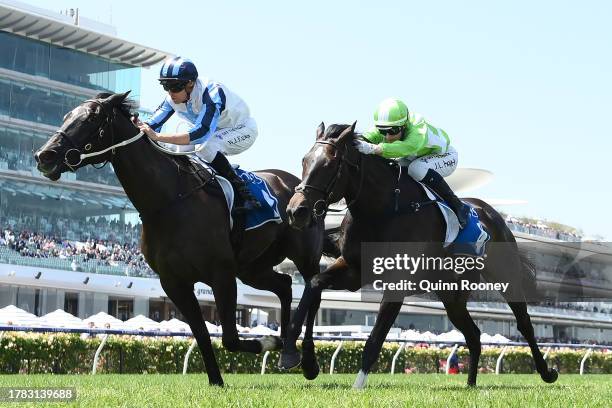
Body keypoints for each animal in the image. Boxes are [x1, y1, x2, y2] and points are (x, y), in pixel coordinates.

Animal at [34, 91, 326, 386]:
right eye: (66, 116)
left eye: (90, 119)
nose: (44, 155)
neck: (169, 202)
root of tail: (295, 185)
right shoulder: (173, 282)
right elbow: (202, 334)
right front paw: (217, 381)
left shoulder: (221, 273)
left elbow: (230, 338)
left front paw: (267, 342)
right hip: (251, 268)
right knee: (285, 286)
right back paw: (288, 348)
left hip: (303, 256)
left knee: (313, 291)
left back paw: (307, 361)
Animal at [280, 123, 556, 388]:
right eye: (304, 161)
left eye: (329, 165)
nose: (296, 211)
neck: (383, 210)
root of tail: (491, 213)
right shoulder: (354, 270)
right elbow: (314, 284)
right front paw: (295, 356)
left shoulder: (397, 283)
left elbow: (376, 338)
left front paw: (357, 385)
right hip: (452, 296)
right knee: (474, 335)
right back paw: (470, 384)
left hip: (505, 275)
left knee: (524, 323)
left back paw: (547, 372)